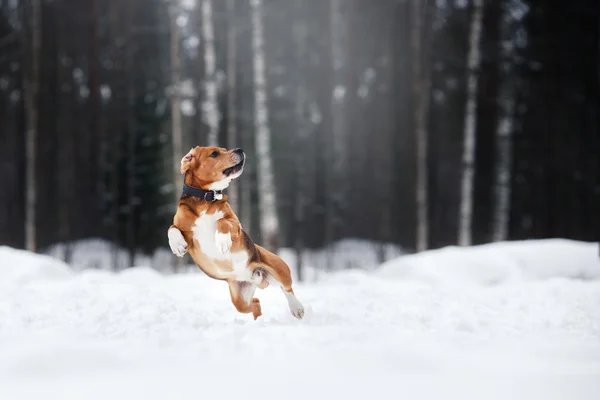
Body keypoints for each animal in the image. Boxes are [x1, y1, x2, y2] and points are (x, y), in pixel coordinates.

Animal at [166, 145, 304, 320]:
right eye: (214, 153)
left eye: (224, 149)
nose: (239, 149)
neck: (206, 198)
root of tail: (255, 277)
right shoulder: (184, 231)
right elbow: (171, 228)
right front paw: (177, 246)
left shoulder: (235, 224)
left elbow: (222, 221)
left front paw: (222, 240)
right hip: (240, 301)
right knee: (255, 303)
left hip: (279, 268)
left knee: (287, 289)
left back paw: (297, 308)